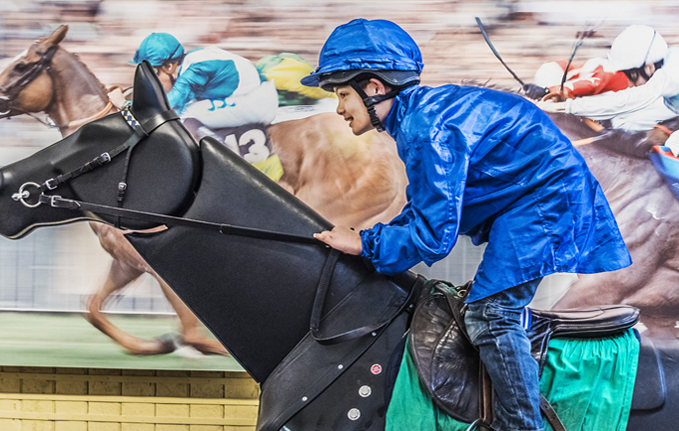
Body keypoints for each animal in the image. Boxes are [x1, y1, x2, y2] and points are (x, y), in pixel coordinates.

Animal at [0, 24, 410, 354]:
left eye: (21, 65)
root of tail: (387, 147)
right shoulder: (127, 260)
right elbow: (92, 309)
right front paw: (156, 345)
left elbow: (195, 332)